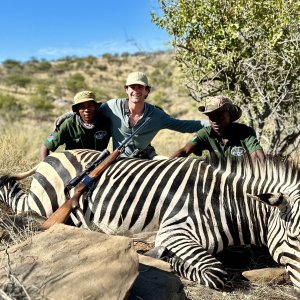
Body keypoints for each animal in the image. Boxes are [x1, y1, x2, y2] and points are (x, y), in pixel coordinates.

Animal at [0, 149, 298, 292]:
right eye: (294, 238)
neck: (222, 202)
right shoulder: (176, 231)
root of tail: (55, 154)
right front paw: (168, 259)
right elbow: (216, 272)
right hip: (42, 203)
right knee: (21, 205)